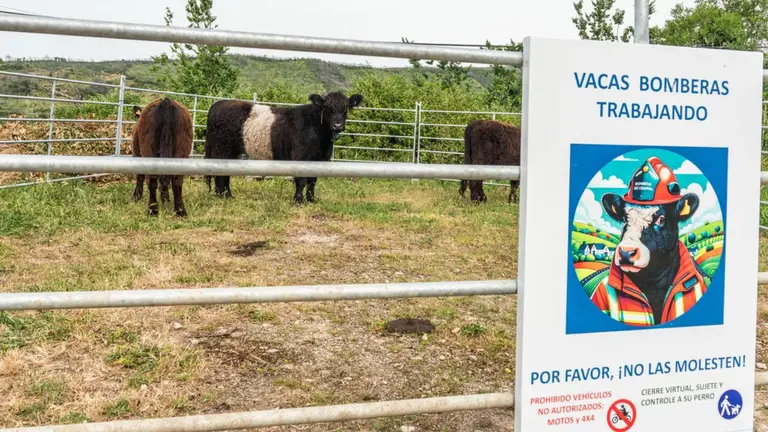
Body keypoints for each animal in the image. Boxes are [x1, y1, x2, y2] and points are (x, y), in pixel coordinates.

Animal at [203, 91, 363, 203]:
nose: (338, 125)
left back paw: (225, 195)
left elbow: (313, 180)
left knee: (224, 174)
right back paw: (225, 196)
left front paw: (311, 200)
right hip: (222, 150)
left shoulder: (319, 159)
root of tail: (218, 104)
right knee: (220, 175)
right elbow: (302, 180)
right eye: (327, 108)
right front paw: (298, 200)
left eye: (345, 108)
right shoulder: (300, 157)